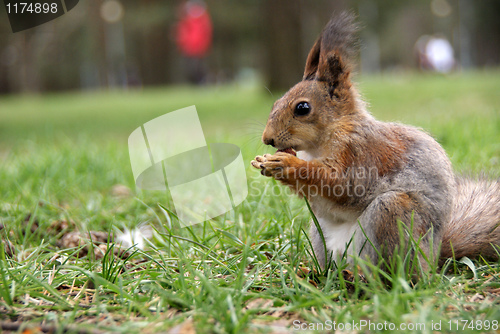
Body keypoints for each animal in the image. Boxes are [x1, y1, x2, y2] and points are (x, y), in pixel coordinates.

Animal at [252, 13, 498, 272]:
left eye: (302, 108)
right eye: (275, 102)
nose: (267, 139)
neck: (322, 140)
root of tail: (431, 261)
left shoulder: (360, 152)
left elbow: (341, 183)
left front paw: (286, 164)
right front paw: (265, 162)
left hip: (392, 213)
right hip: (321, 235)